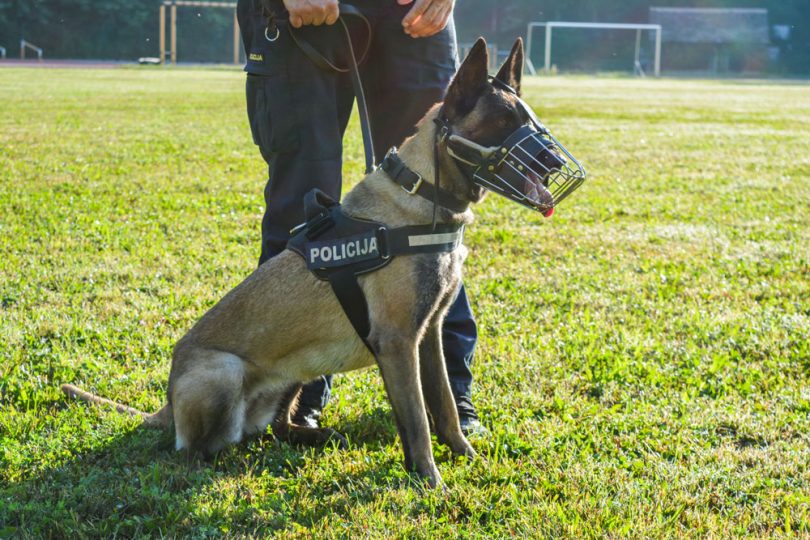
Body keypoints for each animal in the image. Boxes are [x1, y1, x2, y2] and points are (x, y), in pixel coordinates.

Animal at [63, 37, 570, 488]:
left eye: (529, 118)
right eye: (502, 120)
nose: (552, 163)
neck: (421, 193)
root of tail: (167, 402)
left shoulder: (429, 335)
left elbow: (443, 407)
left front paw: (467, 458)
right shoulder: (398, 342)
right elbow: (418, 422)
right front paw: (430, 482)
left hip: (296, 370)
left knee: (278, 427)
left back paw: (320, 435)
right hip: (224, 372)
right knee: (194, 450)